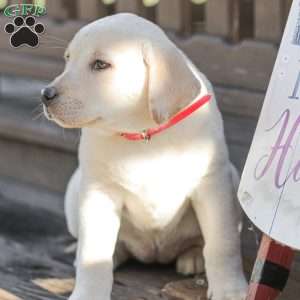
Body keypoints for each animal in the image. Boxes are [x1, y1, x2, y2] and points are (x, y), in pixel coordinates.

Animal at [42, 13, 248, 300]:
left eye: (100, 64)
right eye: (67, 59)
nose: (45, 95)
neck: (142, 133)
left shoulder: (212, 184)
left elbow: (222, 243)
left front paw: (230, 289)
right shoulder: (98, 192)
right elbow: (92, 254)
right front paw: (88, 293)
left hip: (232, 178)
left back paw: (194, 256)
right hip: (76, 191)